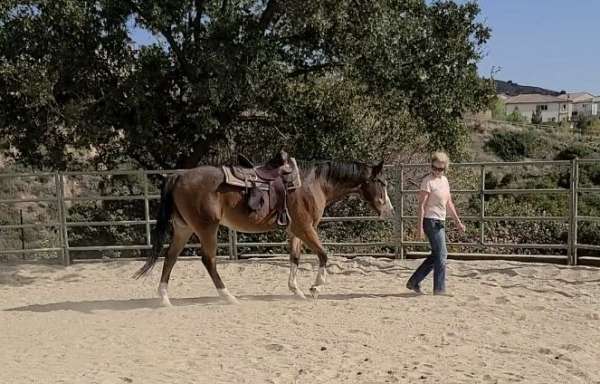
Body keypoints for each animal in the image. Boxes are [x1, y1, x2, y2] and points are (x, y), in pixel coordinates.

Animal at [134, 158, 396, 304]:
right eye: (382, 183)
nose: (389, 210)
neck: (313, 185)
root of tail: (179, 176)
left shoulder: (295, 231)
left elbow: (295, 258)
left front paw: (296, 291)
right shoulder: (306, 228)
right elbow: (323, 255)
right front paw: (315, 288)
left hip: (184, 228)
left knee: (170, 257)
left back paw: (164, 298)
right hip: (207, 228)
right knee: (208, 260)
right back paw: (228, 296)